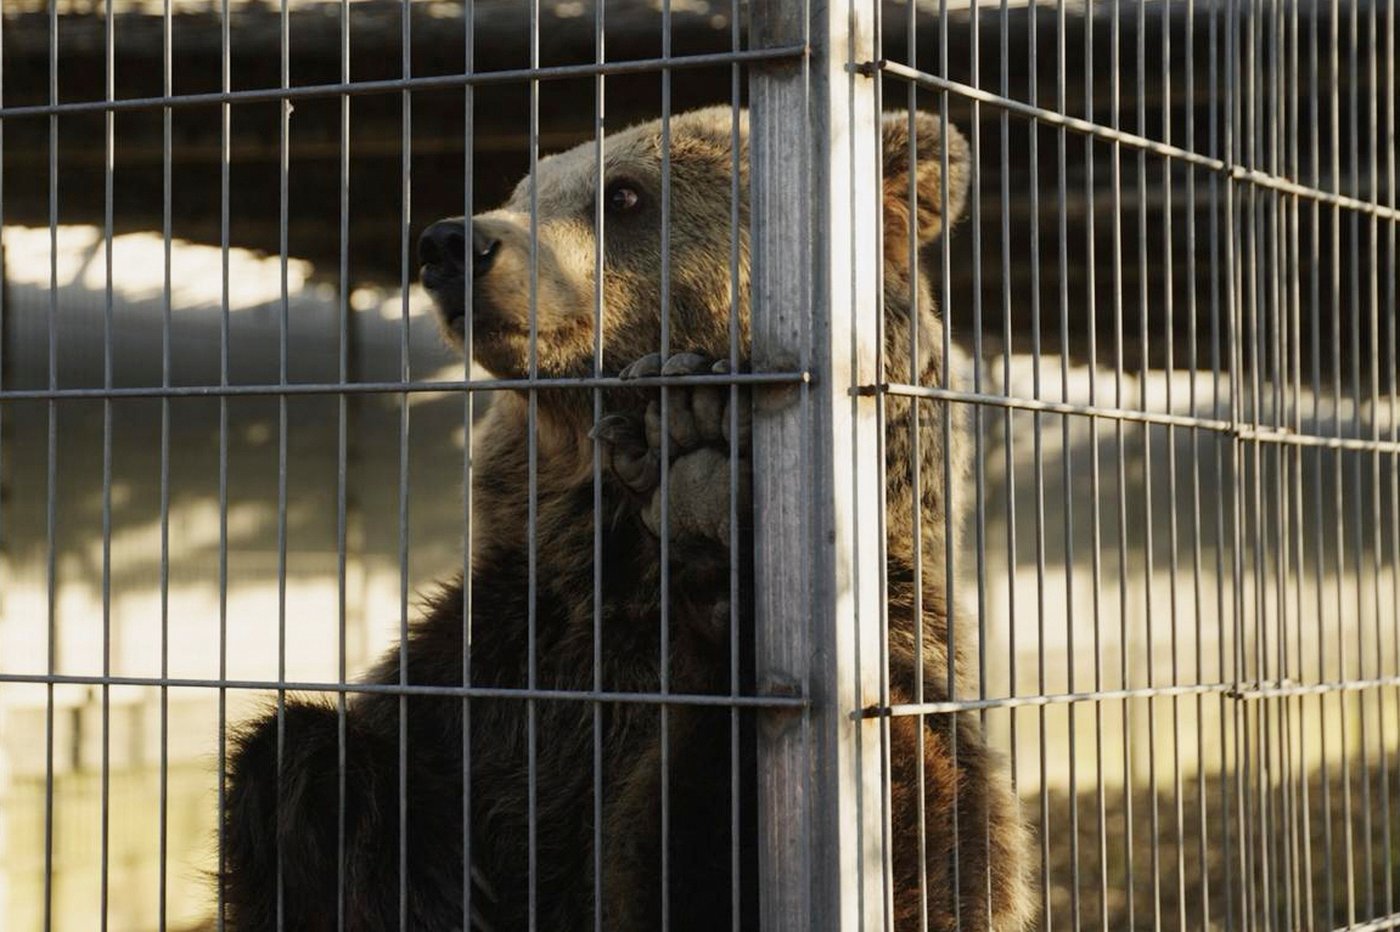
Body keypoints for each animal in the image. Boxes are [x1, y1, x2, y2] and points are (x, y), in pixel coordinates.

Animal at [220, 105, 1032, 931]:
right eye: (524, 191)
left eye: (623, 194)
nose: (453, 243)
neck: (620, 571)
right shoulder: (494, 668)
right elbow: (316, 771)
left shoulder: (904, 643)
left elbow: (912, 845)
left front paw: (707, 492)